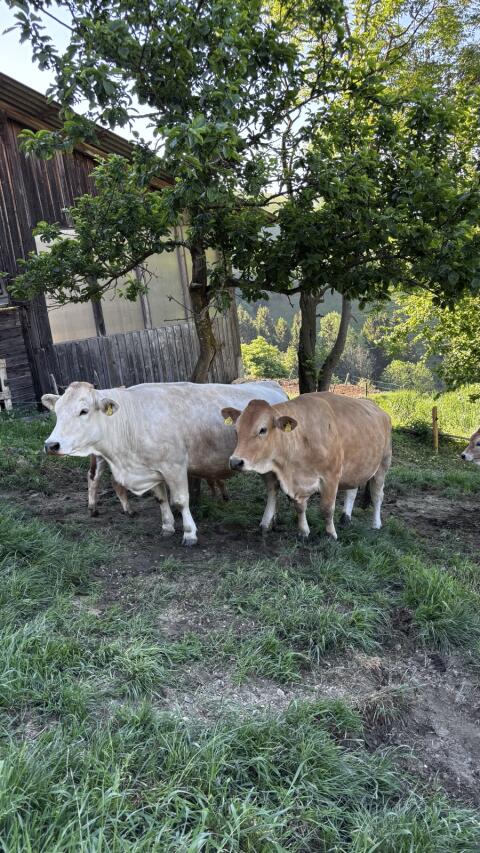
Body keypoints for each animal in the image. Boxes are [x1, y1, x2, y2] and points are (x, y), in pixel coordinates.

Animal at [41, 380, 288, 545]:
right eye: (57, 412)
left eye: (83, 411)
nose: (51, 445)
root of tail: (272, 385)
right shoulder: (152, 468)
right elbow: (161, 499)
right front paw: (167, 526)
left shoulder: (174, 466)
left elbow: (180, 500)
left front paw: (189, 533)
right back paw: (274, 520)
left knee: (272, 488)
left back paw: (266, 522)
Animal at [222, 392, 392, 540]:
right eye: (236, 430)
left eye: (262, 430)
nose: (235, 462)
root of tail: (381, 411)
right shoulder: (296, 483)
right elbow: (300, 507)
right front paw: (303, 532)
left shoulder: (331, 476)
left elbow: (327, 508)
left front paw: (331, 534)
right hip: (356, 467)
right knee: (352, 491)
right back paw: (345, 518)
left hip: (383, 464)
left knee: (377, 495)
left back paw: (376, 524)